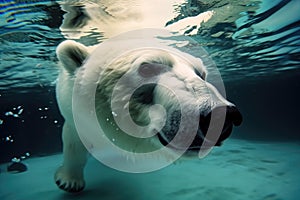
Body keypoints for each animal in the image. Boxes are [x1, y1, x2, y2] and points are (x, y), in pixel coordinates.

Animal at [53, 34, 241, 192]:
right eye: (147, 69)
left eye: (201, 74)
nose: (219, 113)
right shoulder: (76, 116)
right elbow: (73, 144)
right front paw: (69, 182)